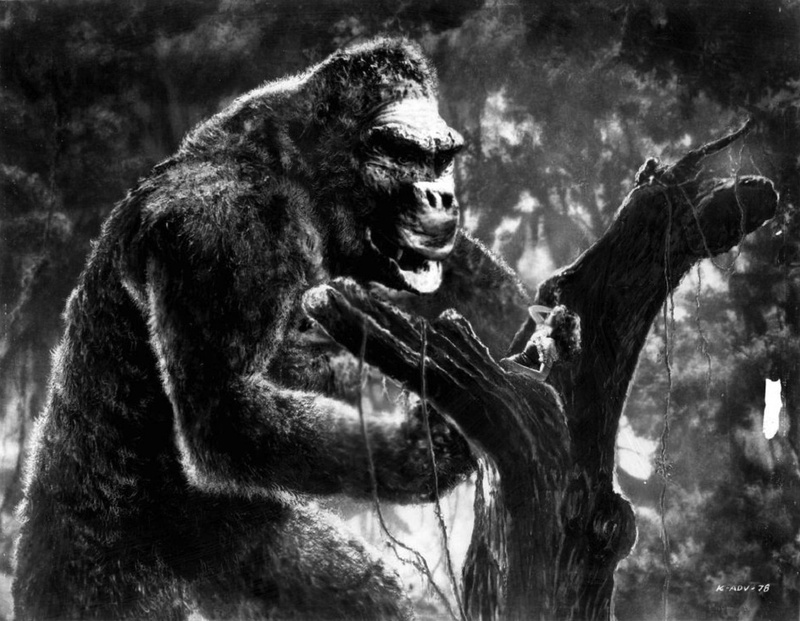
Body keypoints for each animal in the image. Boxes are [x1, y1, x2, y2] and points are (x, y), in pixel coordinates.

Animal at [13, 38, 531, 620]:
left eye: (441, 159)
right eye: (401, 152)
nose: (441, 196)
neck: (295, 173)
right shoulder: (219, 229)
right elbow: (226, 407)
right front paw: (419, 451)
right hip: (94, 569)